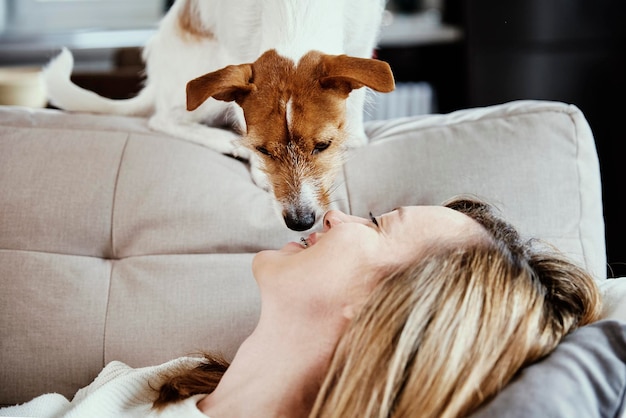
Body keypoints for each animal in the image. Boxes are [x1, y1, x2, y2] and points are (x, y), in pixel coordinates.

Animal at [44, 0, 392, 232]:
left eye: (323, 146)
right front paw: (255, 165)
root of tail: (156, 83)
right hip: (201, 84)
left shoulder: (363, 35)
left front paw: (354, 137)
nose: (300, 223)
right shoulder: (237, 53)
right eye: (263, 149)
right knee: (163, 118)